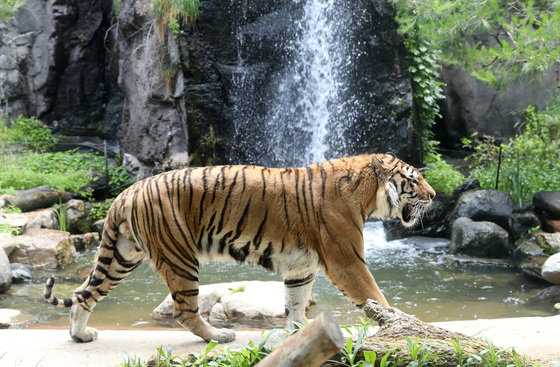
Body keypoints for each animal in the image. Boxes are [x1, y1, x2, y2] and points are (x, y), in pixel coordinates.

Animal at [44, 152, 438, 344]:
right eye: (414, 178)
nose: (434, 196)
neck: (367, 194)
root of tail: (126, 192)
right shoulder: (346, 260)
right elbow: (375, 296)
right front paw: (405, 325)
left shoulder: (301, 267)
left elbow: (296, 305)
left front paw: (299, 334)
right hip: (179, 256)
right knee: (184, 311)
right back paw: (218, 335)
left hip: (122, 255)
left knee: (83, 293)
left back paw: (80, 335)